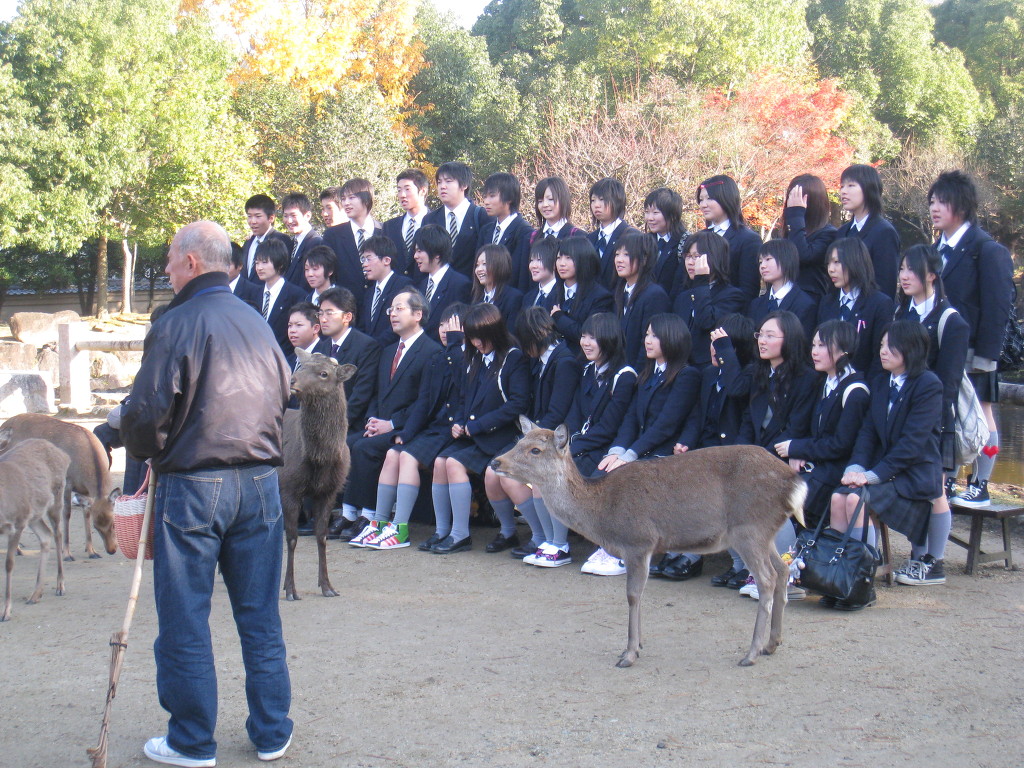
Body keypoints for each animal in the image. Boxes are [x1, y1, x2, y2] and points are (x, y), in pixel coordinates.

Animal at [0, 414, 119, 561]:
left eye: (113, 522)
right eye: (96, 526)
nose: (112, 550)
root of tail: (4, 425)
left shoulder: (85, 492)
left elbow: (86, 512)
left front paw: (92, 551)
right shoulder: (67, 482)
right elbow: (66, 514)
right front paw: (67, 553)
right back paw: (17, 549)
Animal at [0, 439, 71, 621]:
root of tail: (64, 455)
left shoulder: (18, 522)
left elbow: (9, 564)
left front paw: (6, 611)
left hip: (56, 497)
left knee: (57, 534)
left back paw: (60, 585)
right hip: (35, 514)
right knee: (46, 535)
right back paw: (36, 594)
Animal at [280, 349, 356, 600]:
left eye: (324, 373)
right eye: (301, 366)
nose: (292, 381)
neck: (319, 459)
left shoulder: (329, 491)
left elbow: (321, 536)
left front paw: (327, 587)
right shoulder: (289, 487)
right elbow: (292, 538)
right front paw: (291, 590)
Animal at [490, 417, 807, 668]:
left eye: (535, 449)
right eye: (519, 440)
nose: (496, 461)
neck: (601, 513)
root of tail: (795, 483)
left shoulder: (638, 541)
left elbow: (633, 595)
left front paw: (629, 654)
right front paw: (637, 647)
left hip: (748, 528)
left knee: (766, 578)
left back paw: (750, 653)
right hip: (766, 532)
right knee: (782, 570)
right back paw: (771, 644)